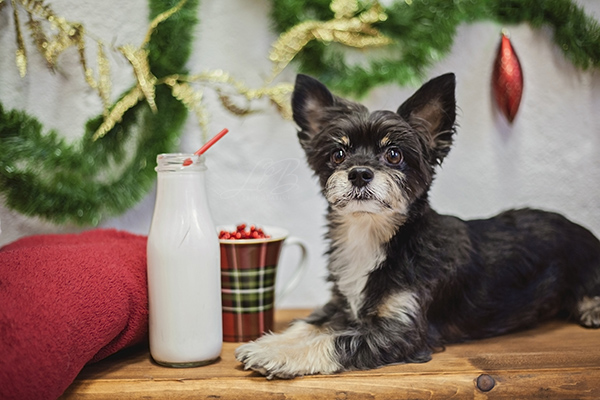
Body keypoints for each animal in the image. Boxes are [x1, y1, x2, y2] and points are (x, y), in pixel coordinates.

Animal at [236, 74, 600, 378]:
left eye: (394, 155)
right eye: (338, 154)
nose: (359, 173)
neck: (373, 237)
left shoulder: (403, 331)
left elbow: (337, 340)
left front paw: (276, 356)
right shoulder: (341, 303)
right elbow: (307, 324)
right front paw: (267, 342)